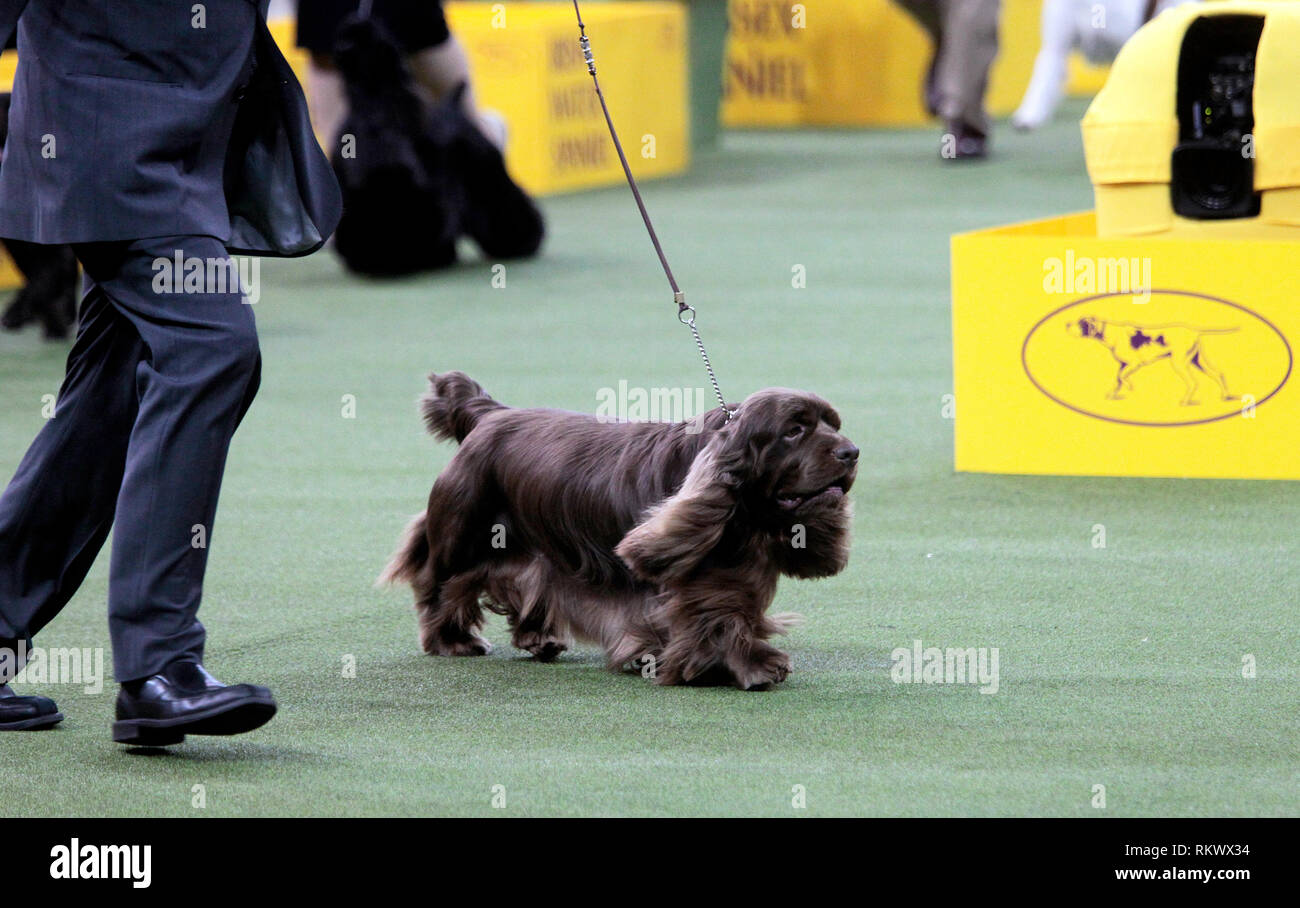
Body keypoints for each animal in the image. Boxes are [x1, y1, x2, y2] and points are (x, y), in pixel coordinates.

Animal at [379, 369, 852, 686]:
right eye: (794, 430)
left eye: (834, 424)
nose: (852, 452)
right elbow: (716, 618)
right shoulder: (693, 580)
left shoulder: (733, 572)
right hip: (466, 531)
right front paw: (753, 666)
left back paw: (539, 638)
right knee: (441, 583)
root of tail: (490, 416)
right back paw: (451, 640)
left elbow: (733, 611)